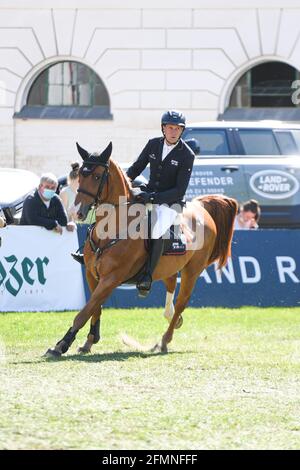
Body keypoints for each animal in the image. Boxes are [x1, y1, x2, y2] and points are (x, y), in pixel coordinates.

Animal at [45, 142, 237, 356]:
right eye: (80, 175)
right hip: (168, 267)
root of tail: (200, 207)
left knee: (181, 302)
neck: (112, 229)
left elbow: (85, 311)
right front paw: (89, 341)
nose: (76, 212)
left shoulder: (112, 278)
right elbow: (95, 307)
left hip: (192, 271)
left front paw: (61, 344)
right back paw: (172, 318)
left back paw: (164, 340)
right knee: (171, 288)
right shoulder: (92, 274)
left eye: (97, 176)